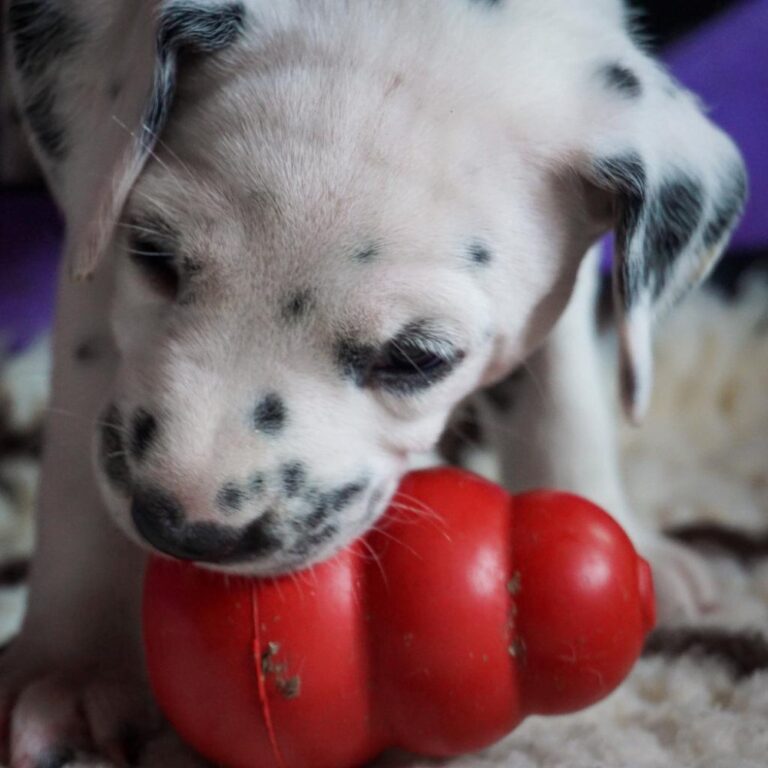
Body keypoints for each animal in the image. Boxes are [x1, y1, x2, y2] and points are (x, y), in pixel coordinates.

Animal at [0, 0, 744, 764]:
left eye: (417, 359)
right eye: (153, 254)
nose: (181, 526)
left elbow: (563, 395)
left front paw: (614, 525)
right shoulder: (98, 217)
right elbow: (80, 435)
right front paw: (77, 667)